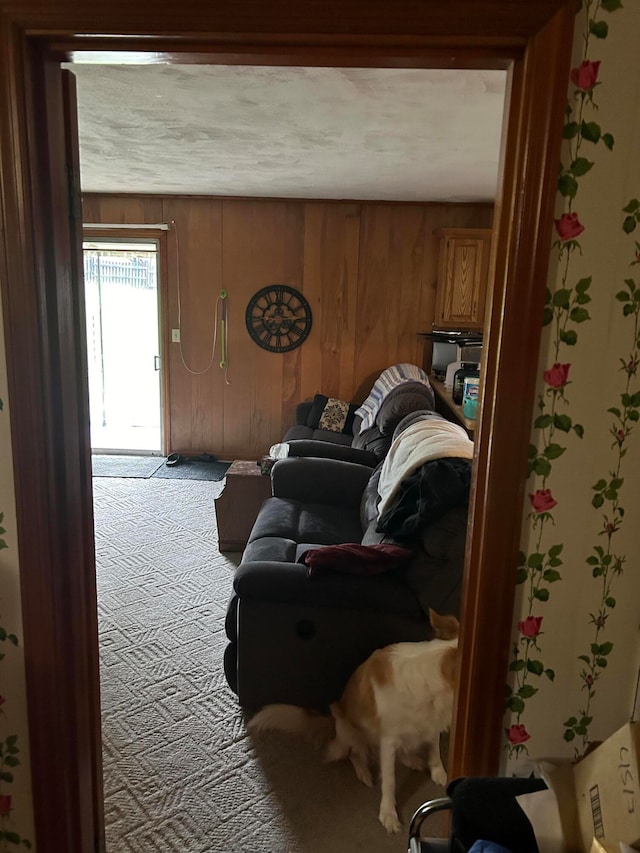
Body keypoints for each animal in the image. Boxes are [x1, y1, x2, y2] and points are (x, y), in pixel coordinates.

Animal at [246, 604, 460, 832]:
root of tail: (332, 724)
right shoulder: (388, 740)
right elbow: (389, 780)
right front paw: (388, 814)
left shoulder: (432, 723)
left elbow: (434, 750)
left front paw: (439, 772)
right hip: (350, 732)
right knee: (355, 755)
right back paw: (364, 772)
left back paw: (412, 760)